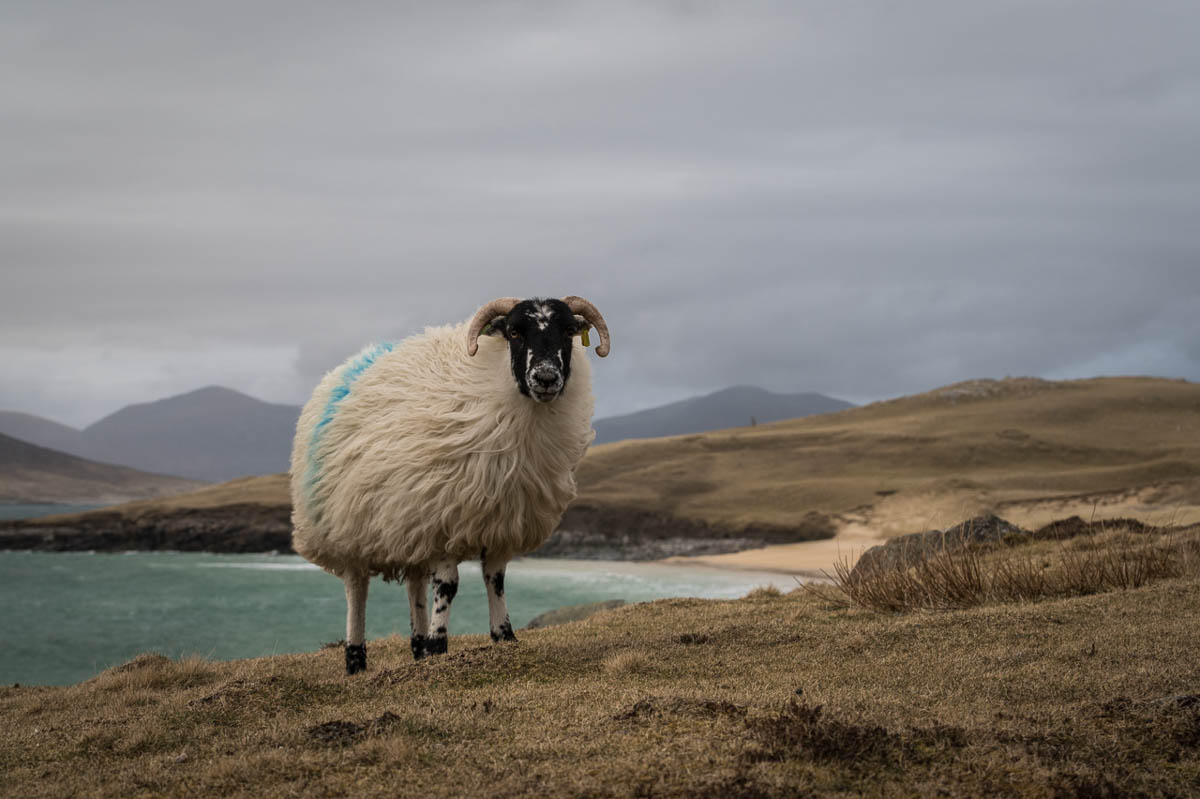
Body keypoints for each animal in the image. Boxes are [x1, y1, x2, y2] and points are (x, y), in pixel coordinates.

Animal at [289, 295, 609, 667]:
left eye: (569, 331)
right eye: (514, 331)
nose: (545, 377)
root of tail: (347, 365)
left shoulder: (500, 522)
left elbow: (495, 579)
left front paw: (503, 636)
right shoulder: (441, 516)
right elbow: (447, 586)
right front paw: (439, 643)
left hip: (404, 526)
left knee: (414, 585)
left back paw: (417, 648)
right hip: (347, 527)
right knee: (357, 590)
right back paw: (356, 659)